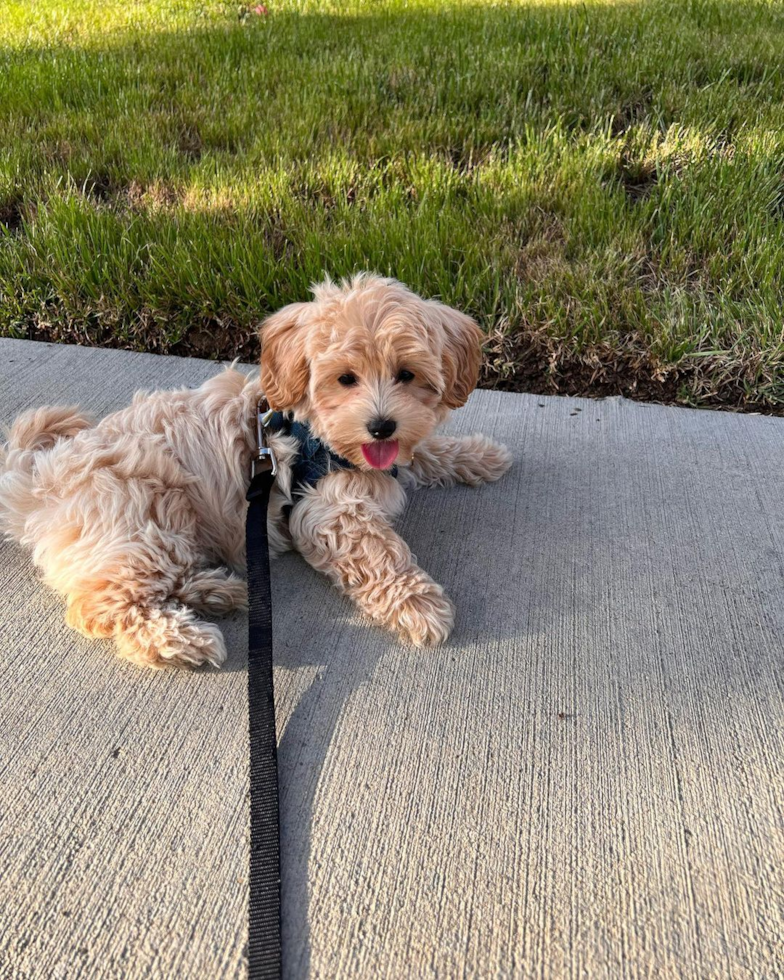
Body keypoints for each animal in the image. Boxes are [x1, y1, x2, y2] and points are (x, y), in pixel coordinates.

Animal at [0, 280, 512, 668]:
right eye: (346, 378)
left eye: (406, 374)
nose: (382, 425)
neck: (319, 435)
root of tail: (38, 483)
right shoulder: (326, 510)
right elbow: (380, 554)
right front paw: (418, 604)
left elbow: (427, 451)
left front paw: (480, 455)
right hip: (143, 516)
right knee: (101, 606)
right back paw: (184, 640)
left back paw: (217, 590)